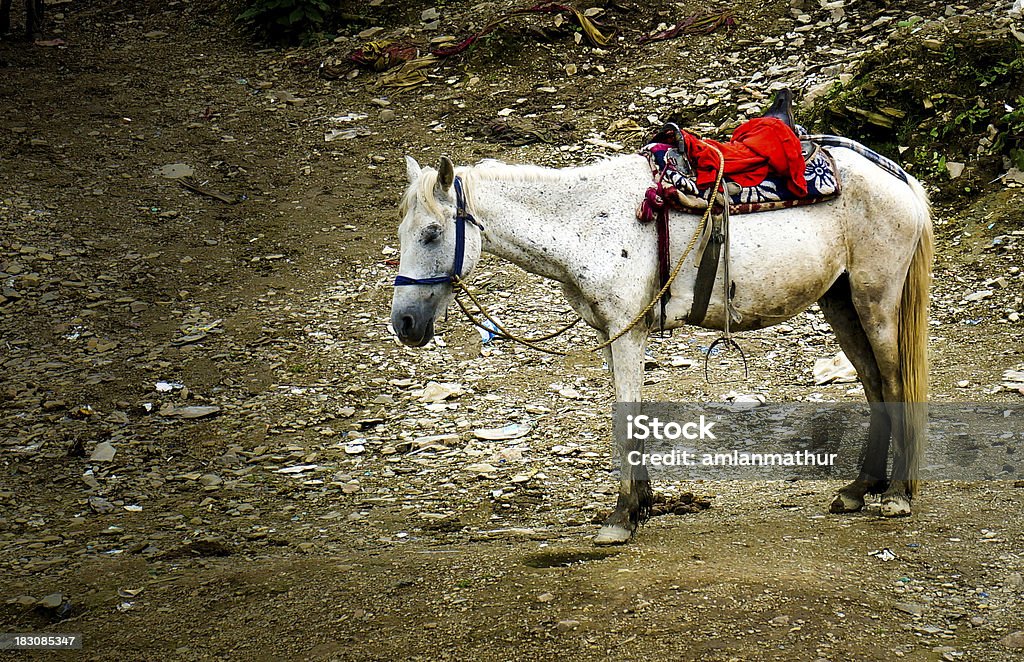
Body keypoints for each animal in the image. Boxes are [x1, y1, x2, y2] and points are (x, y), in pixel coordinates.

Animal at [387, 143, 933, 545]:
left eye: (432, 232)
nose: (405, 323)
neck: (585, 222)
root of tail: (899, 178)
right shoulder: (612, 333)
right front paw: (642, 503)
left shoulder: (628, 330)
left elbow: (626, 416)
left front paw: (623, 517)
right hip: (840, 302)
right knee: (873, 385)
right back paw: (859, 490)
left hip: (875, 299)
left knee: (894, 382)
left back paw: (897, 496)